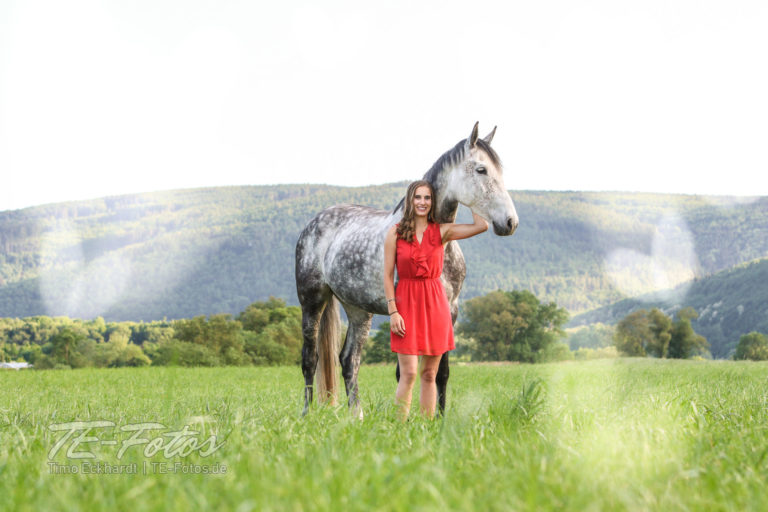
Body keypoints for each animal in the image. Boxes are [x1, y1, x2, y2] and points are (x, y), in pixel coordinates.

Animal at [295, 123, 518, 417]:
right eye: (481, 169)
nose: (510, 222)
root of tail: (315, 222)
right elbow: (404, 372)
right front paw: (407, 416)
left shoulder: (450, 311)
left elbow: (441, 372)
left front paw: (438, 418)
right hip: (312, 300)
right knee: (310, 359)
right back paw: (305, 415)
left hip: (358, 310)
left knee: (348, 360)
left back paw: (356, 416)